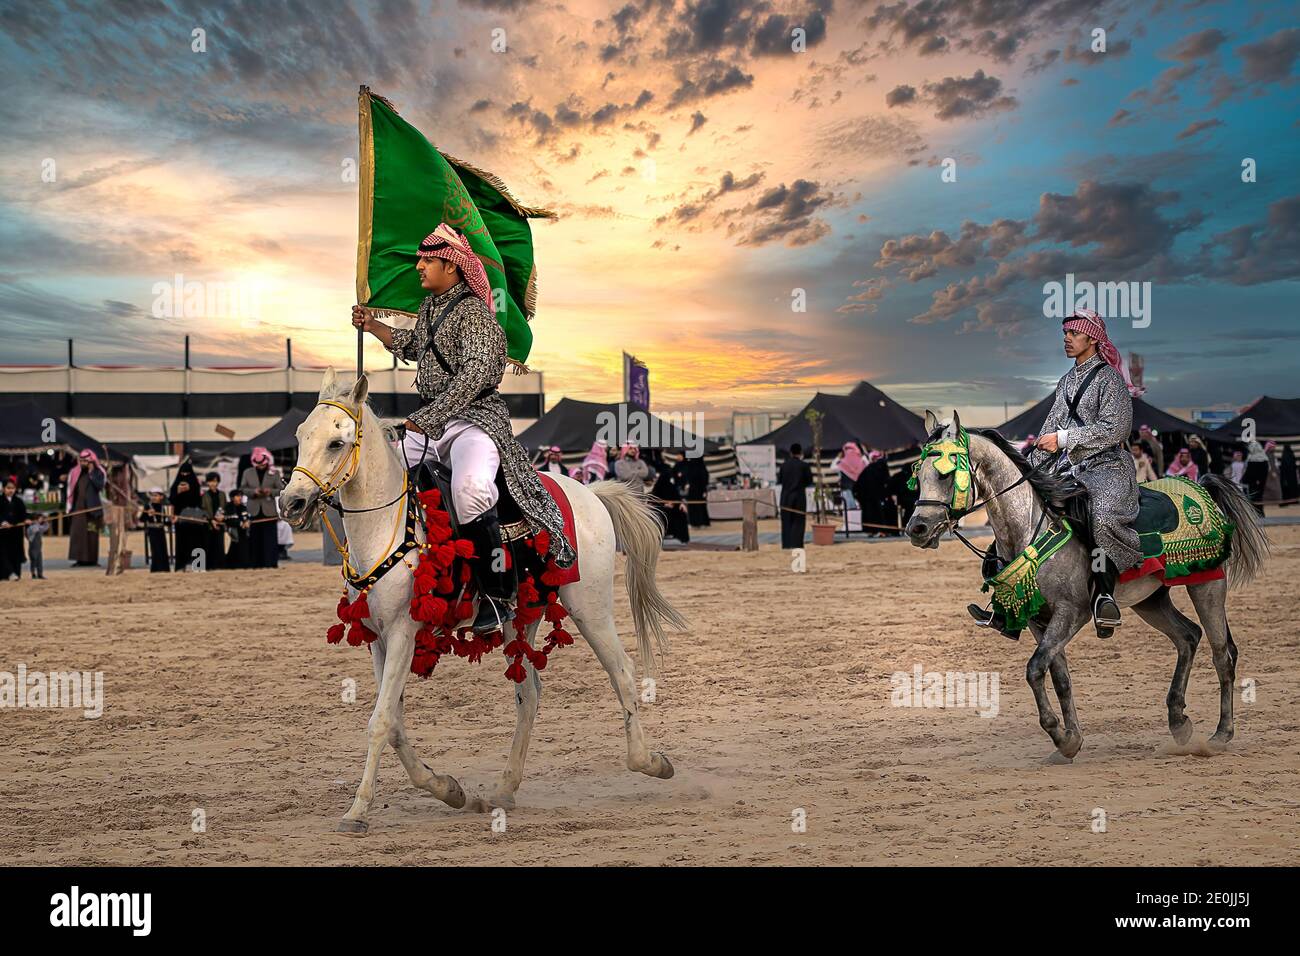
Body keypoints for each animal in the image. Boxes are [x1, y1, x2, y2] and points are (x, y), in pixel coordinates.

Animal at [279, 369, 686, 832]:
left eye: (336, 442)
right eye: (300, 435)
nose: (290, 502)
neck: (389, 524)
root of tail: (589, 494)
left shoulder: (403, 633)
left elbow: (380, 721)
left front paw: (358, 810)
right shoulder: (377, 638)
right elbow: (395, 723)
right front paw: (447, 789)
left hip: (590, 608)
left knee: (622, 672)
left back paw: (650, 762)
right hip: (520, 618)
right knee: (529, 694)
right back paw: (505, 789)